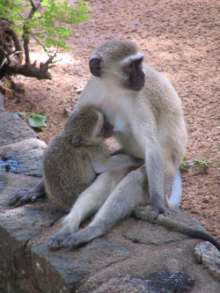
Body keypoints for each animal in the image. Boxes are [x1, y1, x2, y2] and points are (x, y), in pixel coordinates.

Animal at [77, 38, 187, 213]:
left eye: (139, 63)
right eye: (131, 66)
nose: (143, 75)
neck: (112, 89)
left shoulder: (137, 100)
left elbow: (151, 145)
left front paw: (157, 202)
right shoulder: (92, 90)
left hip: (167, 168)